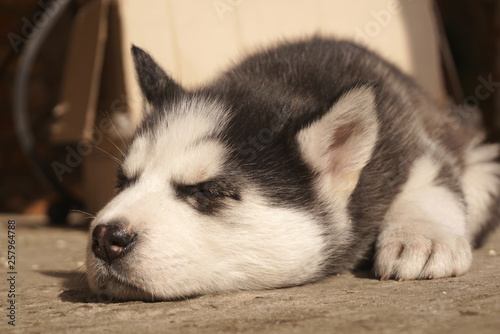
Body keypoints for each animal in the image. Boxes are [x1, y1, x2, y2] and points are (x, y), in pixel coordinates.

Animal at [88, 37, 500, 302]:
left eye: (208, 190)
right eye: (123, 181)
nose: (105, 237)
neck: (285, 82)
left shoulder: (413, 144)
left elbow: (431, 185)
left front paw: (423, 237)